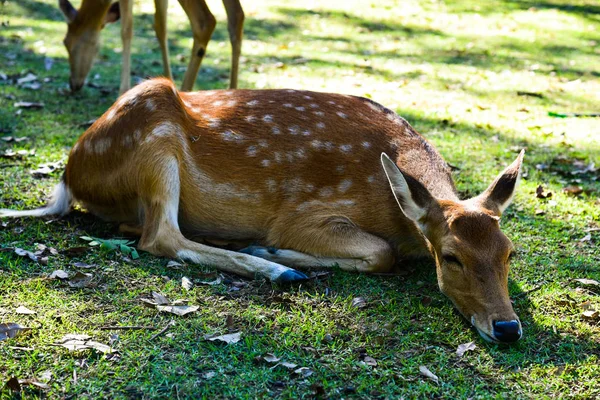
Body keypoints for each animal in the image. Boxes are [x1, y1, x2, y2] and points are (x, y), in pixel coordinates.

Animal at [0, 78, 524, 344]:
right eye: (451, 257)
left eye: (509, 253)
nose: (508, 327)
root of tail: (69, 175)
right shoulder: (302, 214)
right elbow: (381, 253)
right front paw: (275, 251)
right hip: (155, 137)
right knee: (159, 236)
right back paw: (276, 268)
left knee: (142, 228)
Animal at [56, 0, 244, 93]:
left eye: (67, 43)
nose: (73, 84)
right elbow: (160, 25)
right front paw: (167, 80)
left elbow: (127, 28)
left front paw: (123, 91)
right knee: (237, 16)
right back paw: (233, 90)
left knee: (205, 21)